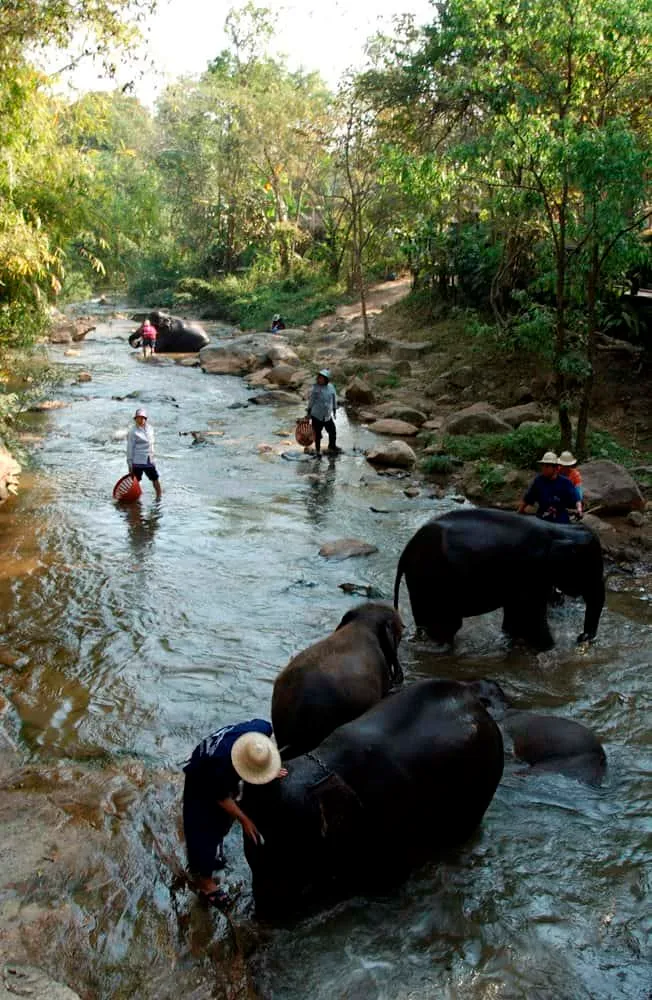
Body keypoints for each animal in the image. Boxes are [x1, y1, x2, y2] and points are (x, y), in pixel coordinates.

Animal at [394, 508, 605, 650]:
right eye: (590, 569)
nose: (580, 638)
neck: (560, 529)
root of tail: (406, 551)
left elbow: (515, 614)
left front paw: (512, 640)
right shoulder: (531, 572)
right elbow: (531, 616)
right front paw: (549, 649)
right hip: (434, 580)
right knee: (446, 624)